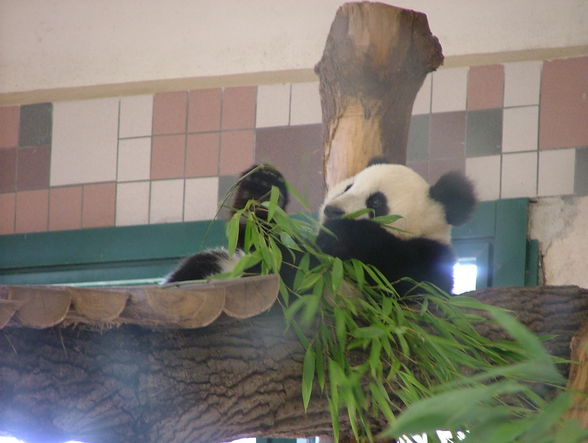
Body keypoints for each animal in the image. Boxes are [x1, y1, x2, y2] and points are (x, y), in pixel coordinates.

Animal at [163, 161, 476, 296]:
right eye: (349, 186)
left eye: (376, 202)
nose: (333, 210)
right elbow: (264, 245)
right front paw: (262, 186)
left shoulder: (423, 261)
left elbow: (396, 286)